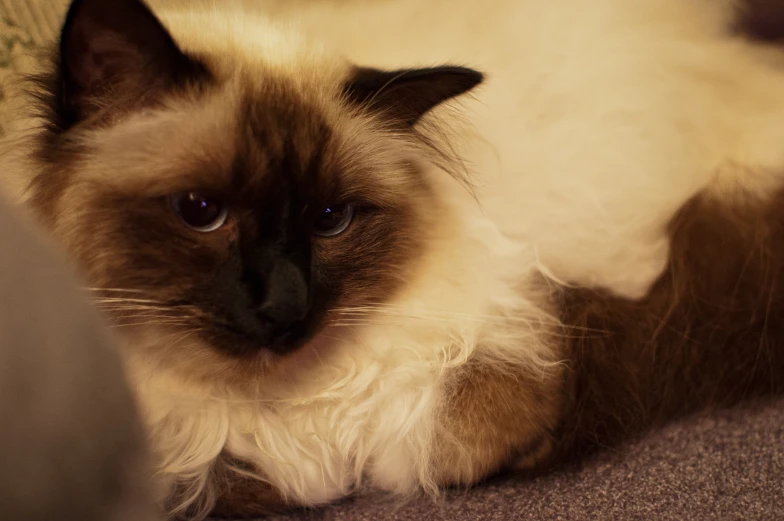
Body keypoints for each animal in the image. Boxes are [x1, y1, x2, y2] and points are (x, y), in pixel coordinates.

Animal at [4, 0, 784, 516]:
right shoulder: (184, 451)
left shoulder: (507, 337)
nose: (284, 306)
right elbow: (241, 480)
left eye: (331, 220)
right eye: (201, 211)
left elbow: (452, 440)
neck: (282, 401)